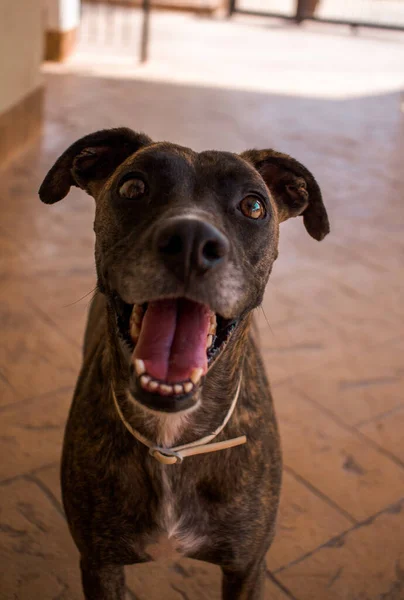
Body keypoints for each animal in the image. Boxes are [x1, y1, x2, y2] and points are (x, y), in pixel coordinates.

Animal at [38, 127, 328, 600]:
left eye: (254, 206)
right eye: (132, 187)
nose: (191, 241)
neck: (172, 442)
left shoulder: (247, 567)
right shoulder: (99, 564)